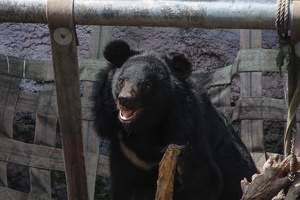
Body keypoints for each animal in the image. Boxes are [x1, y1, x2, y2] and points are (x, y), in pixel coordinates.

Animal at [92, 40, 258, 200]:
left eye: (147, 85)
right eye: (121, 80)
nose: (125, 100)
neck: (145, 127)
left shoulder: (189, 128)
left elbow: (208, 181)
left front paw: (183, 163)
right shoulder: (126, 151)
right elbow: (123, 187)